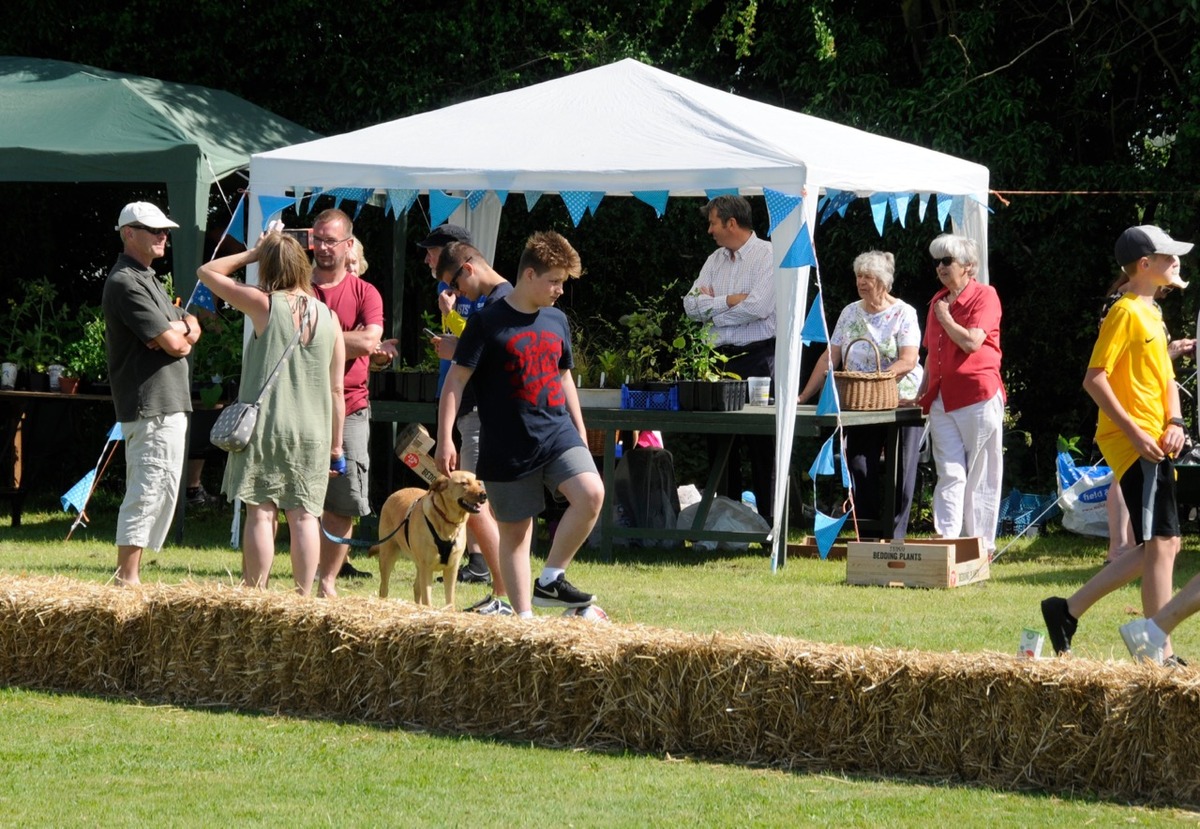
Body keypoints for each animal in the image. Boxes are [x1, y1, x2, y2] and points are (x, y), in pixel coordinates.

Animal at [372, 472, 489, 609]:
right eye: (464, 483)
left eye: (479, 483)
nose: (484, 495)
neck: (447, 523)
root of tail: (395, 493)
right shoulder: (427, 568)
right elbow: (427, 600)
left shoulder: (451, 568)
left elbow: (450, 601)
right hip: (388, 556)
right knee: (384, 588)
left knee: (416, 588)